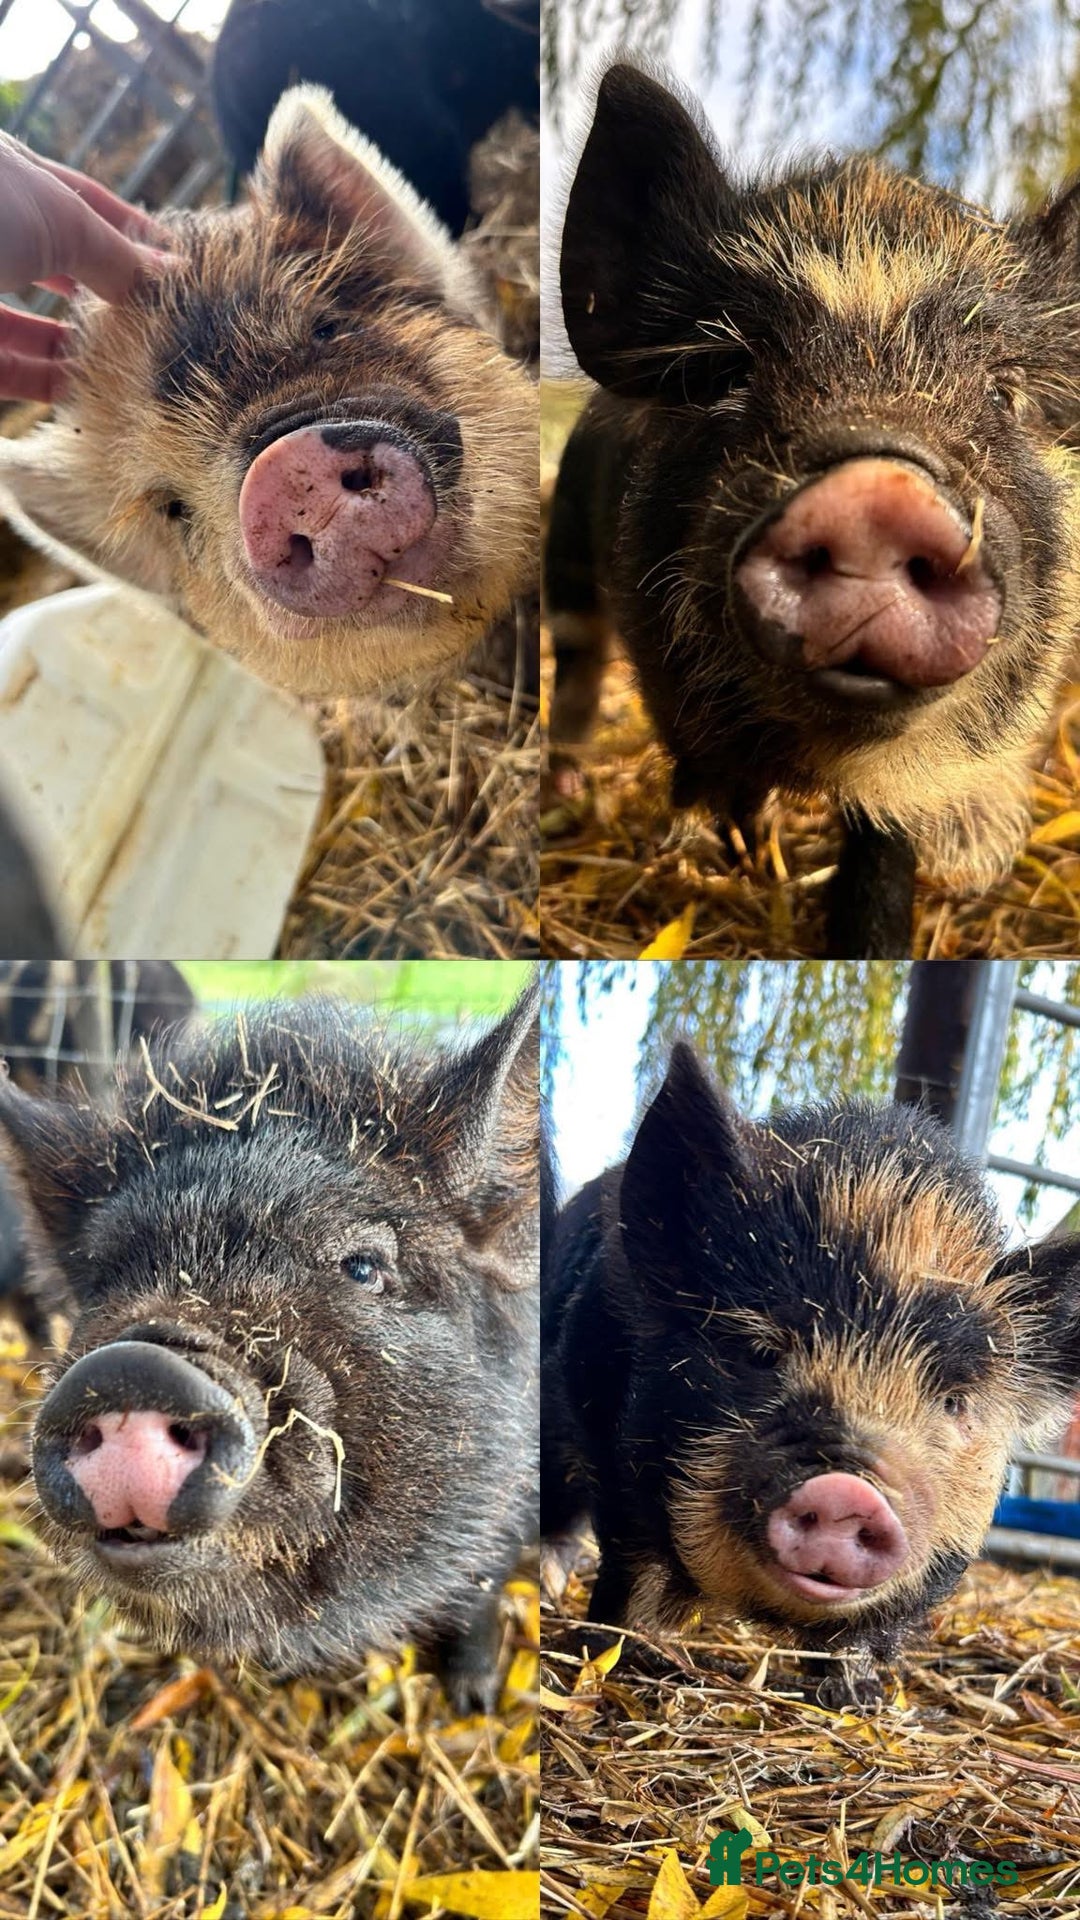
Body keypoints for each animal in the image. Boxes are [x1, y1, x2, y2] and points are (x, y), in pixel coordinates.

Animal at [541, 1043, 1080, 1694]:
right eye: (760, 1353)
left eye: (954, 1401)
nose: (848, 1489)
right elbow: (633, 1556)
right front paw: (632, 1654)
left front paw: (859, 1696)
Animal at [546, 59, 1080, 956]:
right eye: (727, 373)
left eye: (1005, 395)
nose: (878, 493)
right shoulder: (667, 681)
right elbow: (720, 779)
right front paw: (738, 857)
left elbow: (882, 855)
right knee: (575, 673)